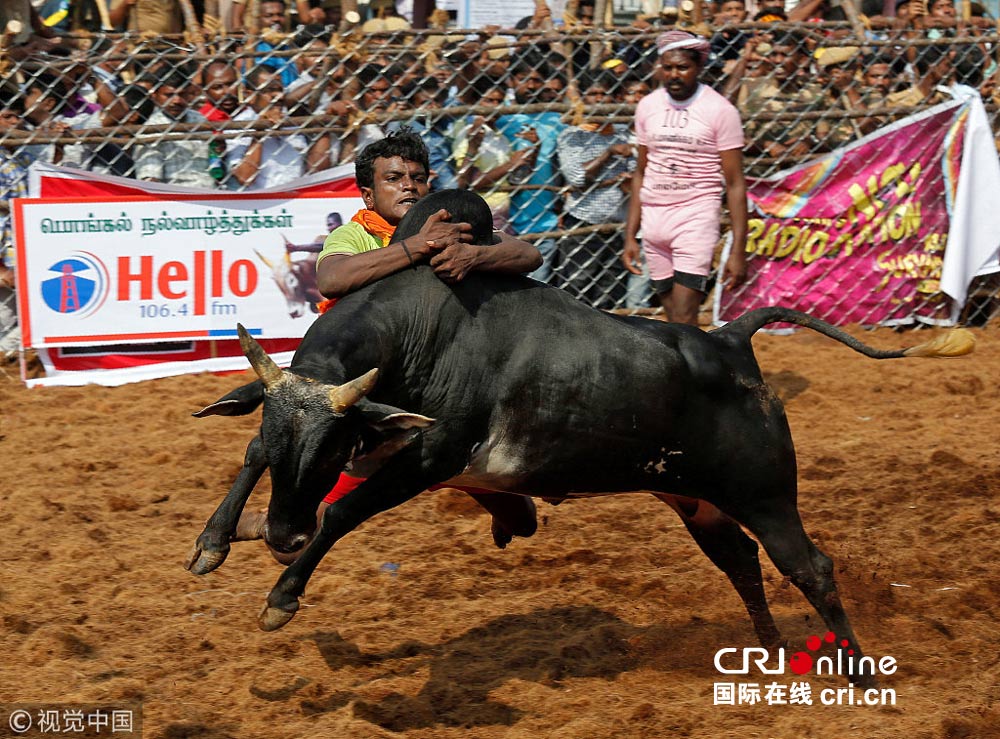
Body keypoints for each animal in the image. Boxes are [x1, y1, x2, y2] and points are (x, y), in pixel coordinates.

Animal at [184, 192, 972, 688]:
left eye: (330, 449)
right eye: (286, 442)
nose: (283, 534)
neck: (420, 333)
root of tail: (729, 340)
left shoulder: (429, 457)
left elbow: (342, 512)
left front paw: (282, 596)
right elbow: (251, 466)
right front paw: (215, 541)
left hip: (767, 493)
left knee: (811, 567)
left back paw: (858, 672)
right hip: (697, 501)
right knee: (743, 562)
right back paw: (772, 651)